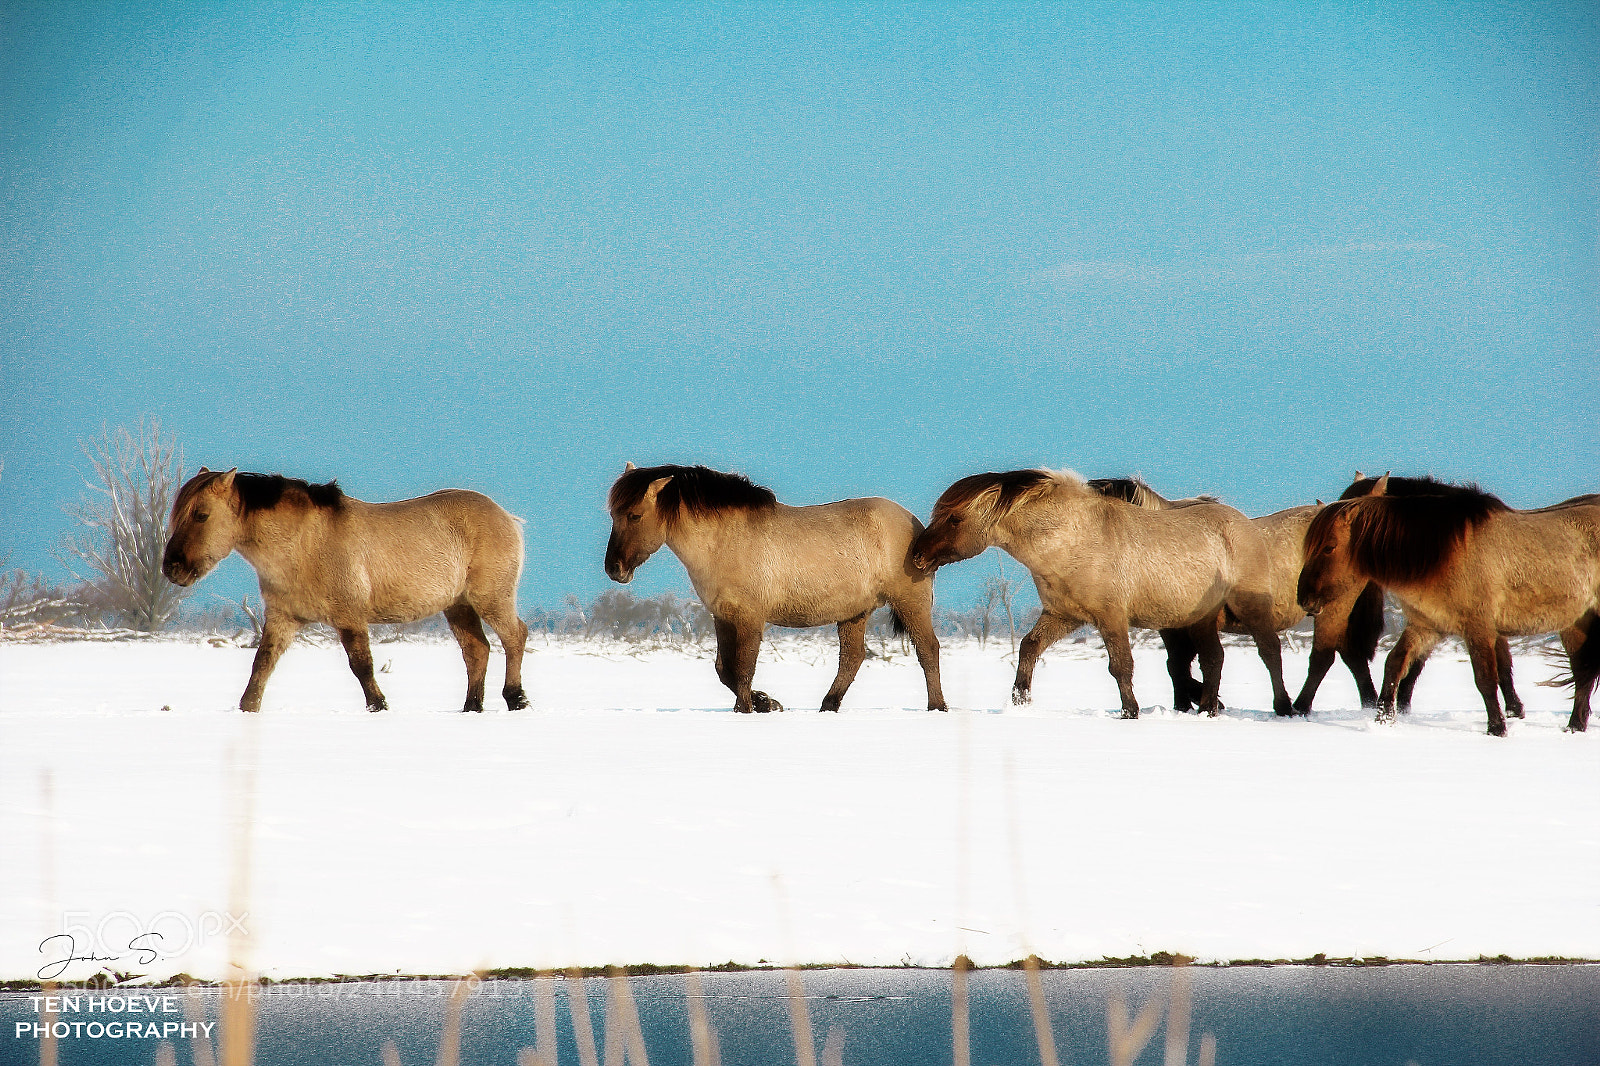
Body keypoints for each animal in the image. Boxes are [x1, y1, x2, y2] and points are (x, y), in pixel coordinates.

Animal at [162, 468, 528, 714]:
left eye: (201, 515)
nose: (172, 568)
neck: (302, 546)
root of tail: (507, 517)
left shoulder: (350, 616)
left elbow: (361, 665)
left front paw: (378, 706)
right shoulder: (282, 619)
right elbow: (262, 664)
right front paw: (247, 709)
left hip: (491, 598)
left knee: (514, 636)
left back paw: (516, 698)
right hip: (458, 605)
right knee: (477, 650)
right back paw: (472, 707)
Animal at [604, 463, 945, 714]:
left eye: (634, 515)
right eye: (613, 514)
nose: (614, 569)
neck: (724, 542)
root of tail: (917, 526)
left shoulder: (750, 618)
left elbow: (743, 668)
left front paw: (746, 709)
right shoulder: (722, 617)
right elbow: (724, 669)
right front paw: (766, 703)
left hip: (910, 601)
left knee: (927, 649)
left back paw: (937, 706)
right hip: (854, 612)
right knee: (852, 658)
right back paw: (828, 706)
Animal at [911, 469, 1293, 717]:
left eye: (955, 519)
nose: (916, 556)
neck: (1073, 540)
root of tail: (1244, 523)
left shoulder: (1111, 617)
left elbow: (1121, 665)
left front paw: (1130, 712)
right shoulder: (1064, 615)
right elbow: (1028, 648)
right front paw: (1020, 701)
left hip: (1249, 609)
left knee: (1270, 652)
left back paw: (1284, 707)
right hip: (1198, 619)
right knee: (1214, 659)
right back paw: (1210, 709)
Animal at [1297, 475, 1600, 735]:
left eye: (1329, 547)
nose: (1304, 599)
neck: (1445, 553)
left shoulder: (1479, 628)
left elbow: (1486, 678)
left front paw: (1497, 728)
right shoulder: (1426, 625)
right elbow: (1394, 663)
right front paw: (1384, 718)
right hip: (1576, 623)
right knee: (1583, 673)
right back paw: (1575, 727)